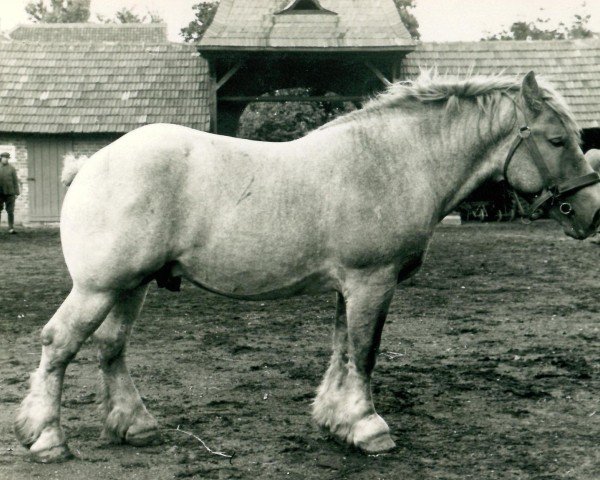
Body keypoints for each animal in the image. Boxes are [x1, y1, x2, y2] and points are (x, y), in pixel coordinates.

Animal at [14, 70, 600, 462]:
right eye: (555, 139)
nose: (591, 213)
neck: (395, 161)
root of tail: (91, 163)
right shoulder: (371, 282)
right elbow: (364, 353)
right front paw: (368, 427)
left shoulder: (350, 287)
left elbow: (342, 350)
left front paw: (335, 419)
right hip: (99, 287)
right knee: (59, 345)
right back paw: (46, 438)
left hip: (130, 286)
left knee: (110, 348)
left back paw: (135, 427)